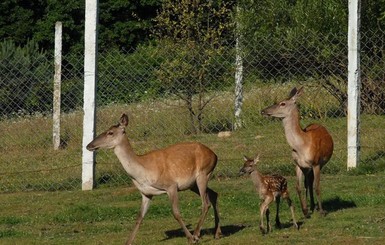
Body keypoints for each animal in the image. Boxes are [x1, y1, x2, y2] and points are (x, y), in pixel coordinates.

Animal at [86, 114, 220, 244]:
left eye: (110, 132)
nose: (89, 145)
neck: (142, 173)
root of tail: (215, 155)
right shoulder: (146, 193)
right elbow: (139, 217)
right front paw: (128, 242)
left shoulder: (171, 185)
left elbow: (176, 212)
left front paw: (190, 238)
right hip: (192, 184)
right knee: (214, 194)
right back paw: (217, 233)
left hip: (203, 173)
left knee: (205, 203)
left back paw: (197, 234)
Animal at [260, 87, 332, 217]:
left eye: (283, 103)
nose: (263, 111)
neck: (302, 146)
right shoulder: (297, 164)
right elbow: (298, 186)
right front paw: (305, 211)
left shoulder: (316, 162)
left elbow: (317, 186)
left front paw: (322, 211)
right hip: (306, 168)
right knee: (308, 183)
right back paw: (311, 206)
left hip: (321, 163)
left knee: (311, 183)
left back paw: (315, 207)